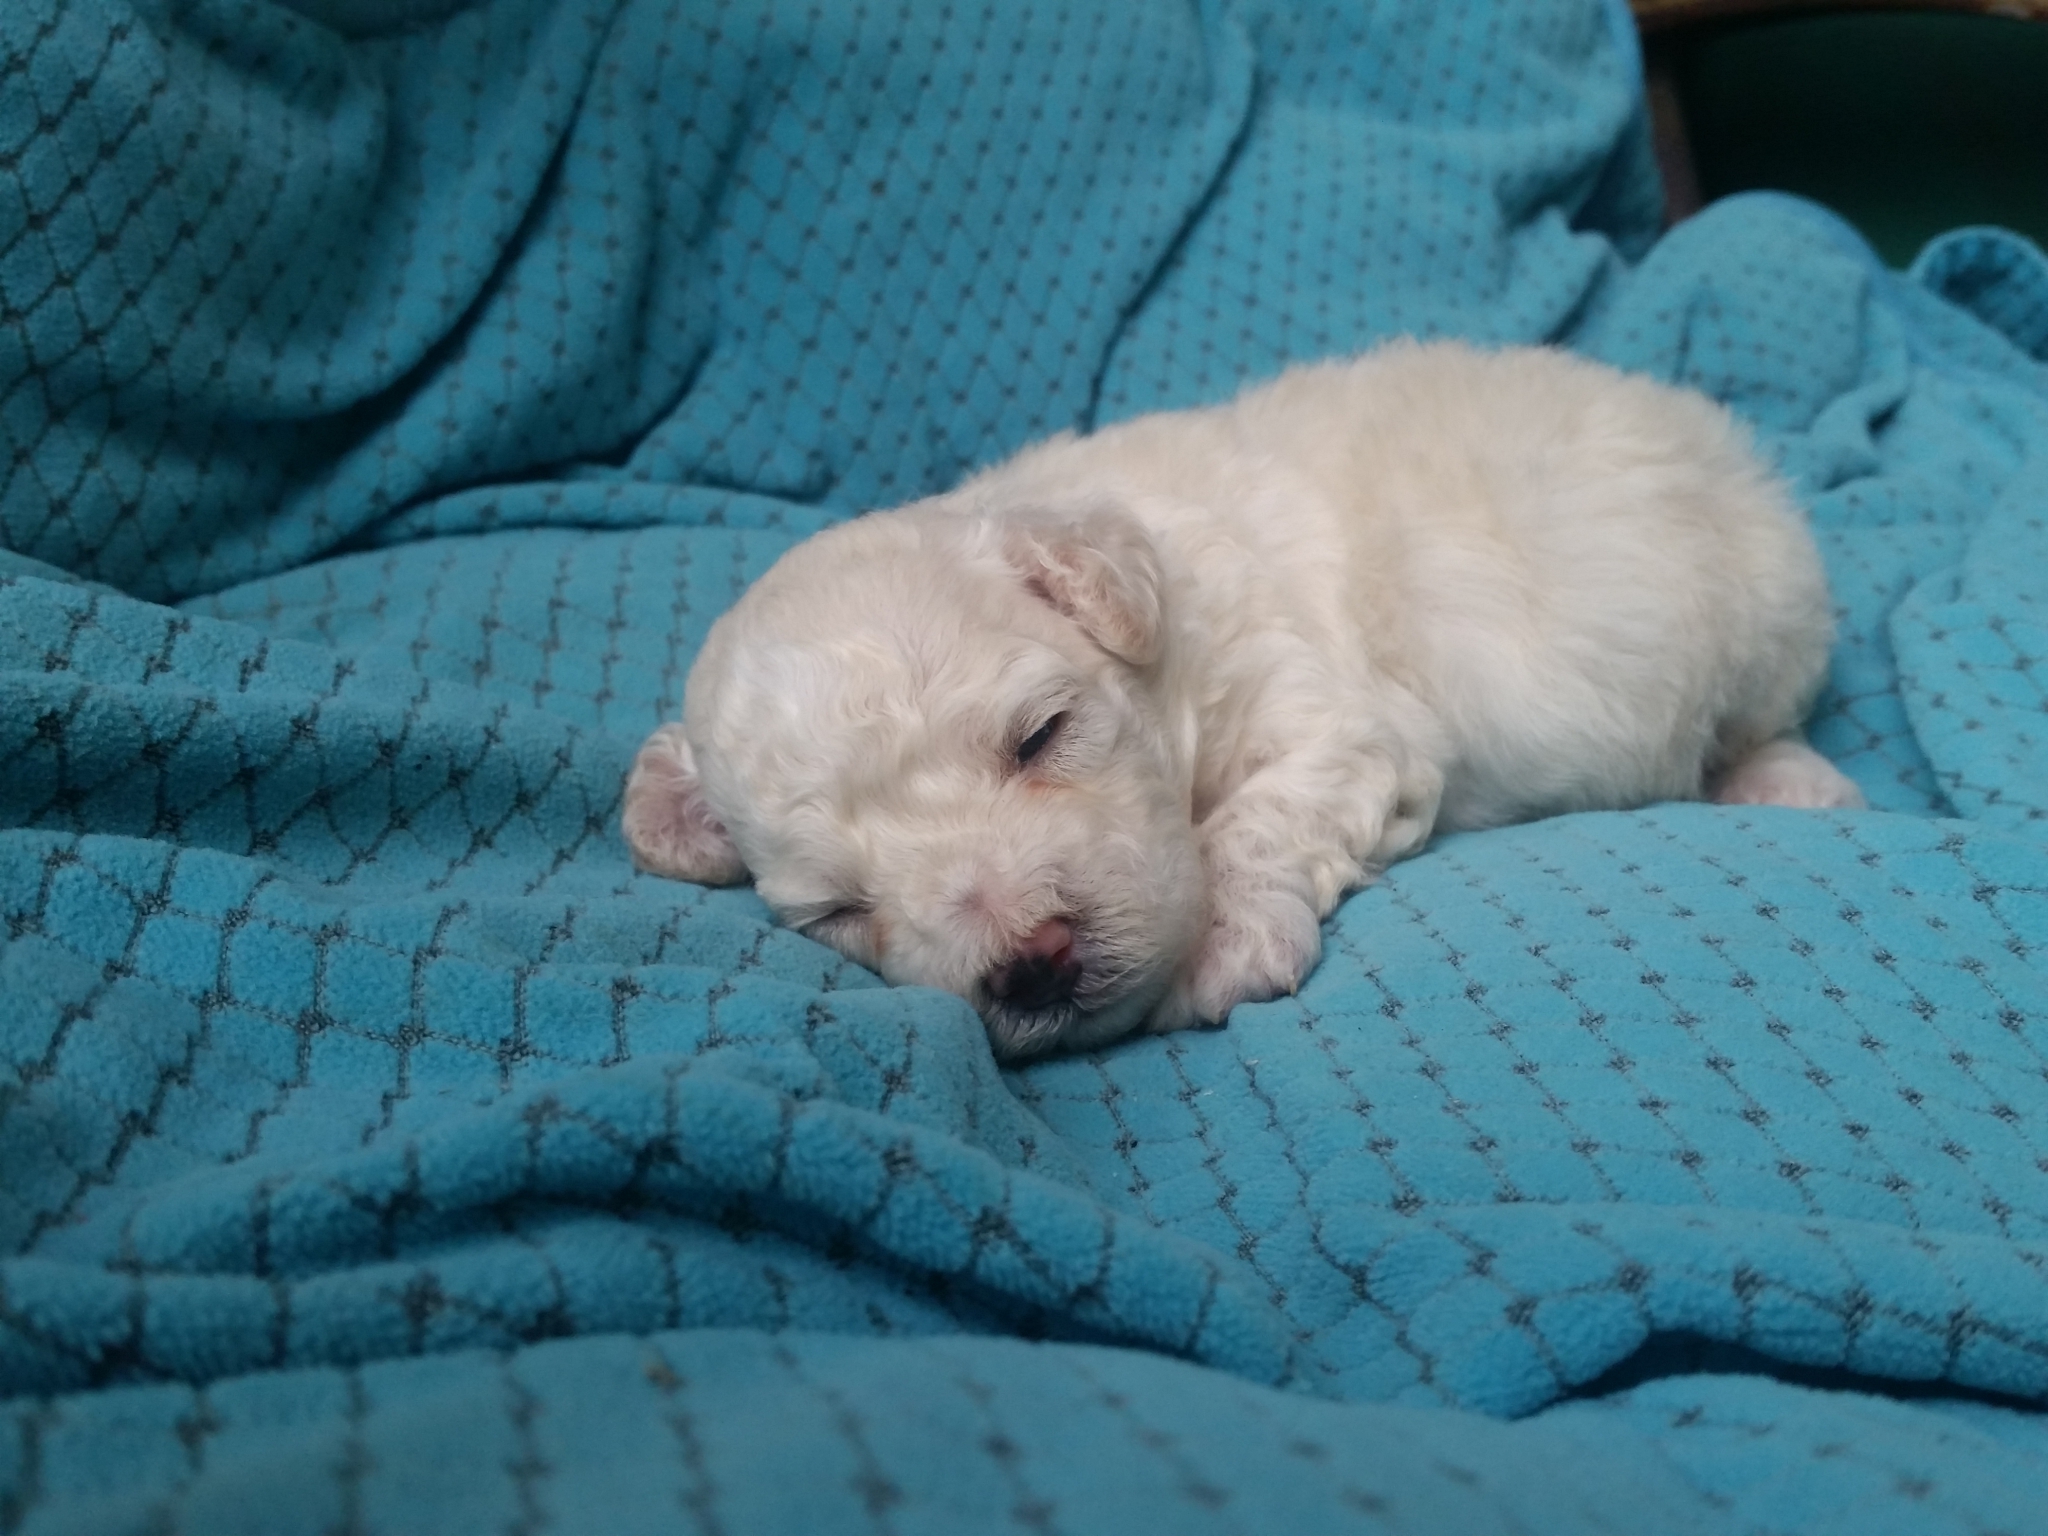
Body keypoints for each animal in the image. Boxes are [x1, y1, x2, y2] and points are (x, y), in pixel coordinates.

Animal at [622, 341, 1864, 1060]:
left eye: (1040, 736)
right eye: (836, 913)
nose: (1033, 960)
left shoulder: (1338, 720)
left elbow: (1254, 820)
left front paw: (1219, 944)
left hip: (1764, 602)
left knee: (1760, 717)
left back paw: (1789, 784)